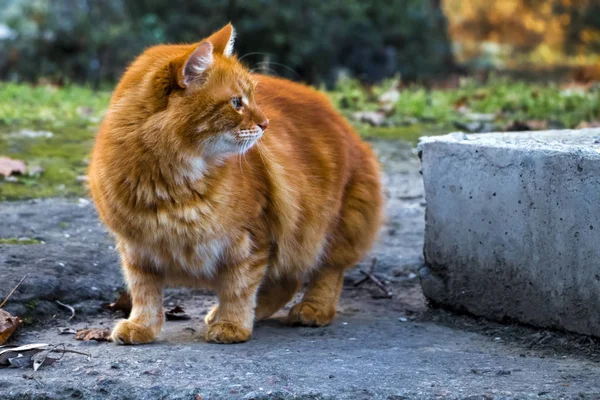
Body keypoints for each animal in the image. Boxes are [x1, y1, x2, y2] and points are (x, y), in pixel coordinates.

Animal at [86, 24, 382, 344]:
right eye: (237, 103)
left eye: (253, 98)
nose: (265, 124)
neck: (170, 181)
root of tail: (341, 120)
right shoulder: (137, 249)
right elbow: (145, 295)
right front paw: (141, 327)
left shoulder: (250, 240)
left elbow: (238, 288)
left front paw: (232, 326)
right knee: (286, 282)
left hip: (332, 229)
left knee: (327, 272)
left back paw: (312, 309)